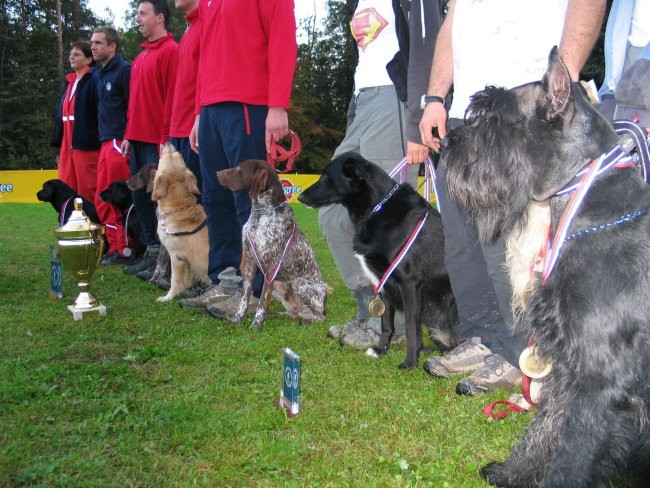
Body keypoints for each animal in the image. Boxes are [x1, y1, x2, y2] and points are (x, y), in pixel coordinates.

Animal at [151, 143, 208, 300]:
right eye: (179, 155)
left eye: (175, 154)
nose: (168, 143)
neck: (179, 208)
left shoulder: (176, 256)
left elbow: (175, 280)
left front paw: (168, 297)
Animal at [298, 154, 456, 368]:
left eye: (325, 176)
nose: (300, 197)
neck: (376, 208)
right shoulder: (384, 282)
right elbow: (386, 323)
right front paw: (381, 350)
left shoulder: (409, 283)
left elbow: (410, 325)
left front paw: (410, 362)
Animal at [442, 46, 648, 488]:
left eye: (496, 116)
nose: (445, 142)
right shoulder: (568, 368)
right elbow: (544, 429)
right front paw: (510, 471)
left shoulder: (597, 380)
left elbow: (572, 454)